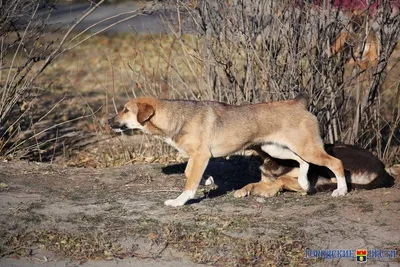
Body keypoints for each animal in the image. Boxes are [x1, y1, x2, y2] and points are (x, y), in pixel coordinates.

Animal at [108, 95, 346, 208]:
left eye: (126, 110)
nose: (109, 121)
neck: (177, 116)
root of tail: (298, 104)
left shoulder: (201, 155)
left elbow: (189, 183)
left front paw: (179, 201)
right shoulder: (196, 157)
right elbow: (189, 172)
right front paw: (207, 180)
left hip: (307, 148)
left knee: (335, 163)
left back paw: (341, 191)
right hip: (276, 148)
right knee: (301, 161)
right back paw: (304, 183)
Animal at [233, 144, 396, 199]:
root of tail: (382, 168)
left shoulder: (307, 181)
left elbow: (282, 179)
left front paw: (268, 192)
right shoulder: (265, 180)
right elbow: (252, 184)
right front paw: (241, 190)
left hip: (335, 153)